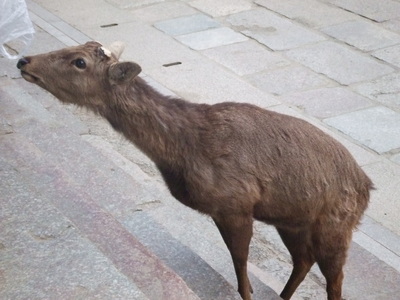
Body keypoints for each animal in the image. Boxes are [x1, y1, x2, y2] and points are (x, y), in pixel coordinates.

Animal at [17, 41, 374, 300]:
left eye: (79, 61)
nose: (24, 61)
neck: (184, 151)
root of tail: (367, 186)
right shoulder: (222, 211)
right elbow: (239, 260)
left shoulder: (236, 204)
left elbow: (240, 263)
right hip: (292, 219)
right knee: (303, 260)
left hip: (335, 225)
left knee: (334, 280)